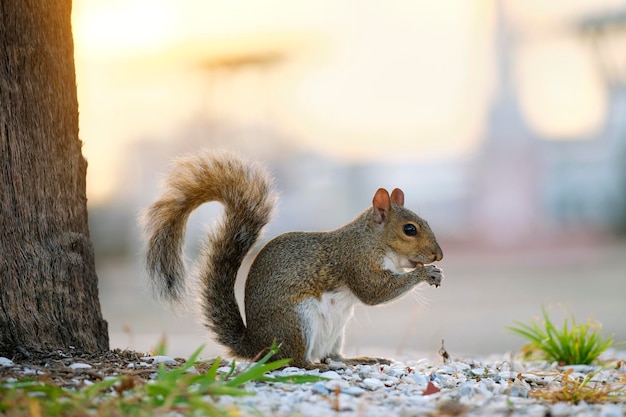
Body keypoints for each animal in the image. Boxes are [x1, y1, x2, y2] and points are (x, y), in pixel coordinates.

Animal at [143, 150, 444, 368]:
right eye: (409, 229)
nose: (438, 255)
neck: (372, 240)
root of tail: (257, 346)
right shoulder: (355, 261)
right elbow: (374, 293)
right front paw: (426, 273)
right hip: (296, 323)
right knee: (296, 361)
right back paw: (315, 366)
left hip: (336, 332)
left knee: (332, 355)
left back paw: (358, 359)